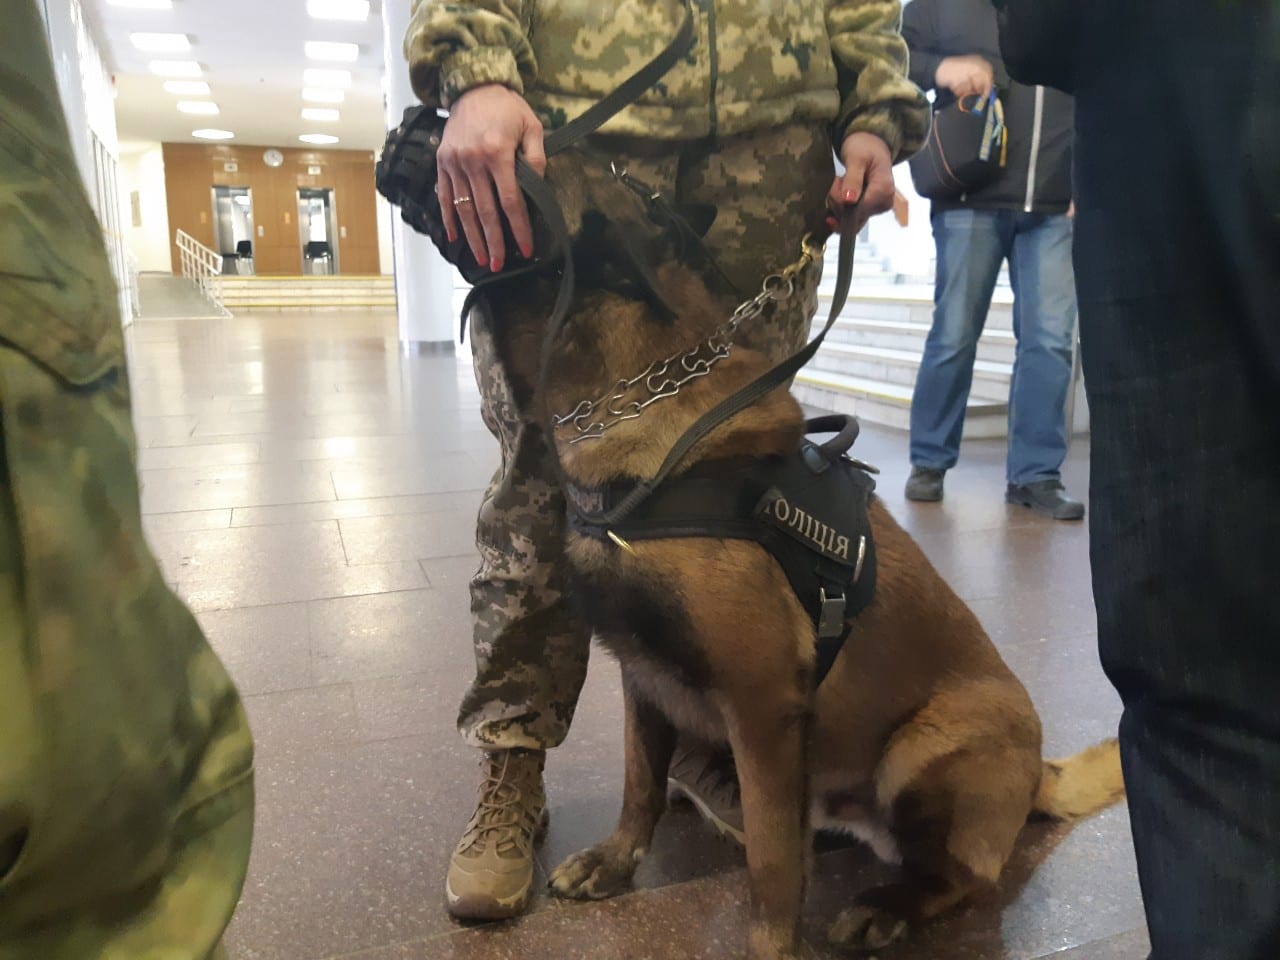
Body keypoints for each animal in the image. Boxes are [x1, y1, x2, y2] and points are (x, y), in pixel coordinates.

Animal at [478, 154, 1121, 957]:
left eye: (536, 158)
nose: (422, 142)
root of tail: (1040, 775)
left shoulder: (762, 707)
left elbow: (774, 862)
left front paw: (772, 944)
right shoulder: (643, 676)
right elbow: (640, 781)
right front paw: (619, 860)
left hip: (921, 749)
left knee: (964, 877)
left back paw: (887, 906)